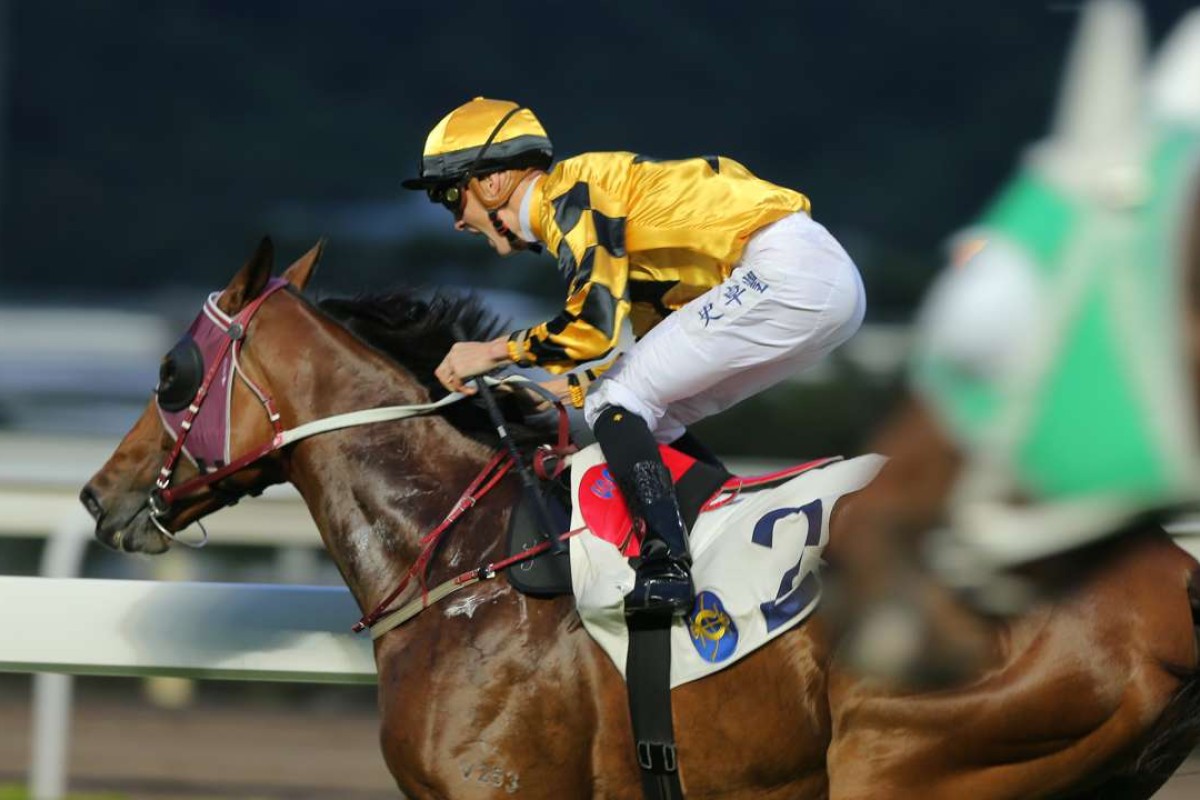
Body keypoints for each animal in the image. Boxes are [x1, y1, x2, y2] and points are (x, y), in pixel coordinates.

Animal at [82, 236, 1200, 796]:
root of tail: (1168, 581)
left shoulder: (508, 793)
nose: (101, 491)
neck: (469, 561)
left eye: (173, 371)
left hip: (911, 759)